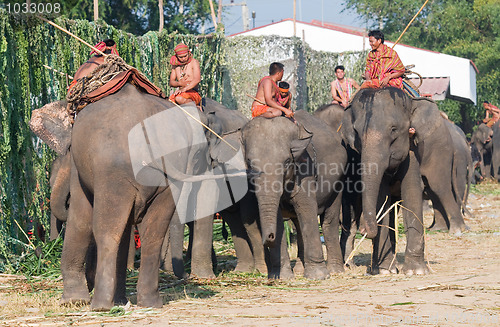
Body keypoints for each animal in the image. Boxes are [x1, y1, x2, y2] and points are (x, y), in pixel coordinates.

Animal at [59, 83, 248, 312]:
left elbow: (81, 216)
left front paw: (73, 301)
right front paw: (119, 300)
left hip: (113, 171)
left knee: (107, 229)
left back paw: (101, 306)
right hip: (164, 178)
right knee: (154, 231)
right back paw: (149, 302)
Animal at [240, 109, 346, 280]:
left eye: (287, 161)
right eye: (249, 163)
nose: (269, 237)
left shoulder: (305, 168)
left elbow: (307, 208)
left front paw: (318, 276)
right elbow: (278, 215)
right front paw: (281, 277)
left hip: (338, 180)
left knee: (329, 220)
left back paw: (335, 271)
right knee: (298, 223)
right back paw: (299, 271)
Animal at [342, 88, 428, 276]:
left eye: (394, 129)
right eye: (356, 132)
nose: (364, 229)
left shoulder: (412, 149)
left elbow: (412, 190)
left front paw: (416, 271)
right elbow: (381, 196)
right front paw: (385, 271)